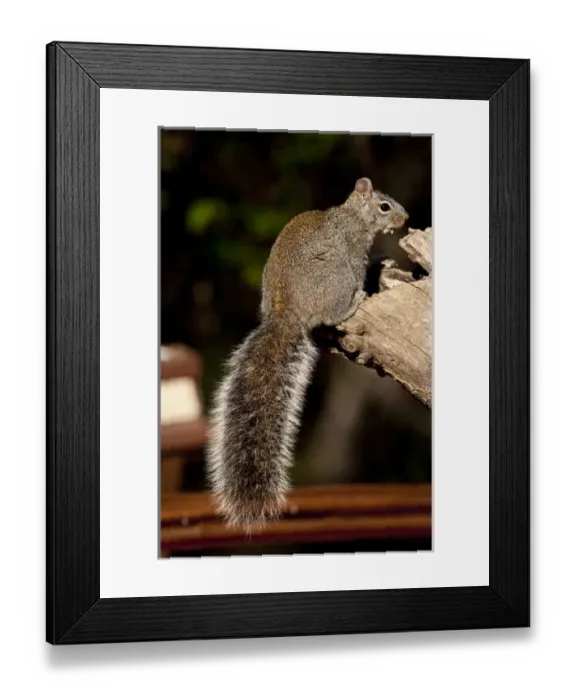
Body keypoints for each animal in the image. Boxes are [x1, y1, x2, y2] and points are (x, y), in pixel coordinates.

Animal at [205, 177, 409, 529]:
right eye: (384, 207)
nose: (405, 218)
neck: (353, 215)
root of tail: (288, 313)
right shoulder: (353, 248)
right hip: (336, 277)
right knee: (333, 313)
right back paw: (354, 301)